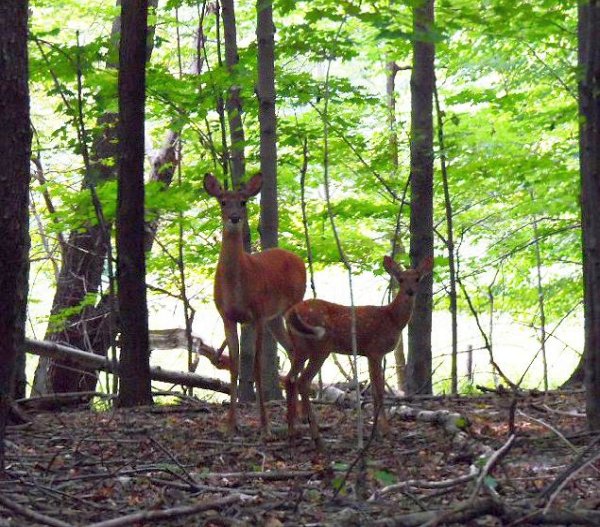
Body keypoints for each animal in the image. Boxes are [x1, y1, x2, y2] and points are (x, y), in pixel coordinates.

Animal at [205, 173, 308, 438]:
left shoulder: (258, 316)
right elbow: (234, 366)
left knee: (298, 348)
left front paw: (265, 425)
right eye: (222, 201)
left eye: (243, 202)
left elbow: (257, 367)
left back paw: (299, 416)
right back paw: (296, 415)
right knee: (292, 349)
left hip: (293, 306)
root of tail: (297, 257)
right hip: (276, 318)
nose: (234, 218)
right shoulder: (227, 316)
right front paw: (230, 425)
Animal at [284, 256, 432, 446]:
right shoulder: (375, 350)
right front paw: (385, 431)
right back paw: (316, 436)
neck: (392, 319)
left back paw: (292, 432)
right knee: (303, 381)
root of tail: (291, 312)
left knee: (289, 379)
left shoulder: (369, 353)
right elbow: (378, 392)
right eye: (400, 279)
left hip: (299, 347)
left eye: (417, 278)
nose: (410, 291)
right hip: (320, 346)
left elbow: (376, 391)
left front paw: (377, 432)